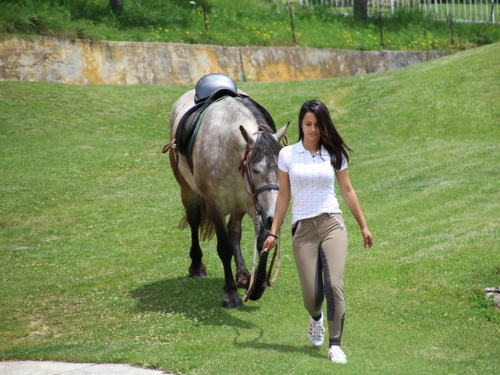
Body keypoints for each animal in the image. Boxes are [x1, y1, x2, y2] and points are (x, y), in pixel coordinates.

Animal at [168, 89, 288, 308]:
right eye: (256, 170)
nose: (273, 217)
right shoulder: (214, 204)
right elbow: (224, 248)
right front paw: (231, 294)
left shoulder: (253, 203)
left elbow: (262, 241)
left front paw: (256, 286)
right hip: (187, 190)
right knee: (194, 219)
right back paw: (196, 265)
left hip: (238, 204)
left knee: (234, 231)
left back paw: (242, 275)